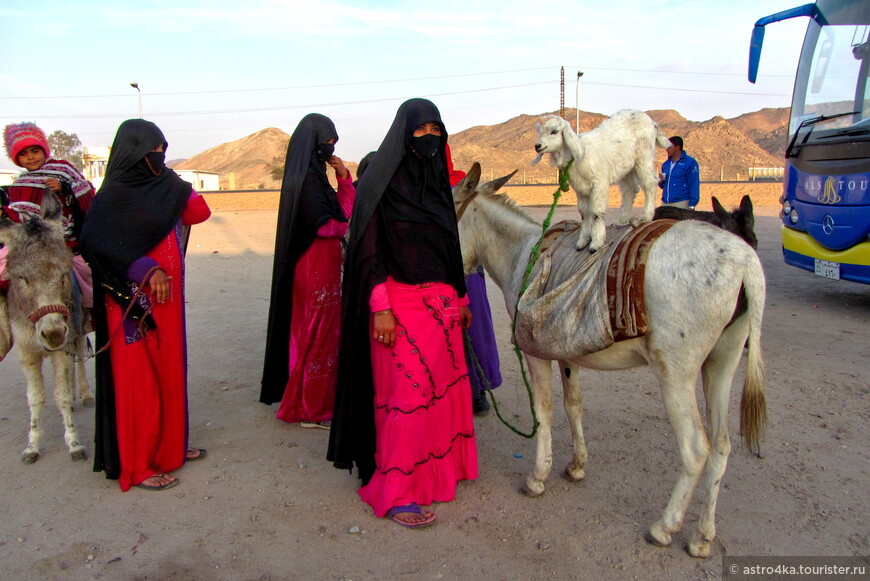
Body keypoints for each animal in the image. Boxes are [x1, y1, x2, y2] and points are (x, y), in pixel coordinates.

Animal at [536, 111, 672, 251]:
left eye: (554, 131)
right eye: (539, 131)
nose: (538, 146)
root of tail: (651, 122)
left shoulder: (599, 183)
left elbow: (596, 212)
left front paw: (596, 243)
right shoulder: (581, 189)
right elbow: (584, 213)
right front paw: (582, 241)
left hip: (643, 155)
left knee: (650, 183)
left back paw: (646, 216)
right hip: (625, 165)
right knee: (630, 189)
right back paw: (621, 220)